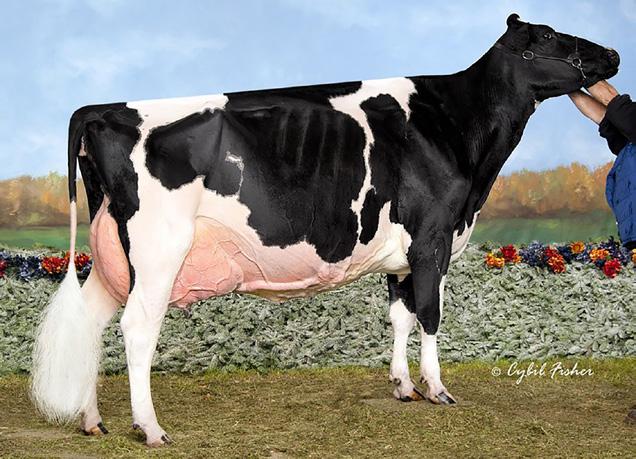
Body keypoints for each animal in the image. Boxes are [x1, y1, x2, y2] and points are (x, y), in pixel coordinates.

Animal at [31, 14, 619, 446]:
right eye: (549, 37)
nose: (613, 54)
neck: (455, 127)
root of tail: (102, 110)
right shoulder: (433, 237)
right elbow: (430, 315)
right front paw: (437, 389)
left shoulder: (400, 253)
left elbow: (400, 315)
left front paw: (403, 386)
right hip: (158, 249)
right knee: (137, 328)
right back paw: (149, 428)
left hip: (114, 253)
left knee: (91, 323)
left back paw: (92, 421)